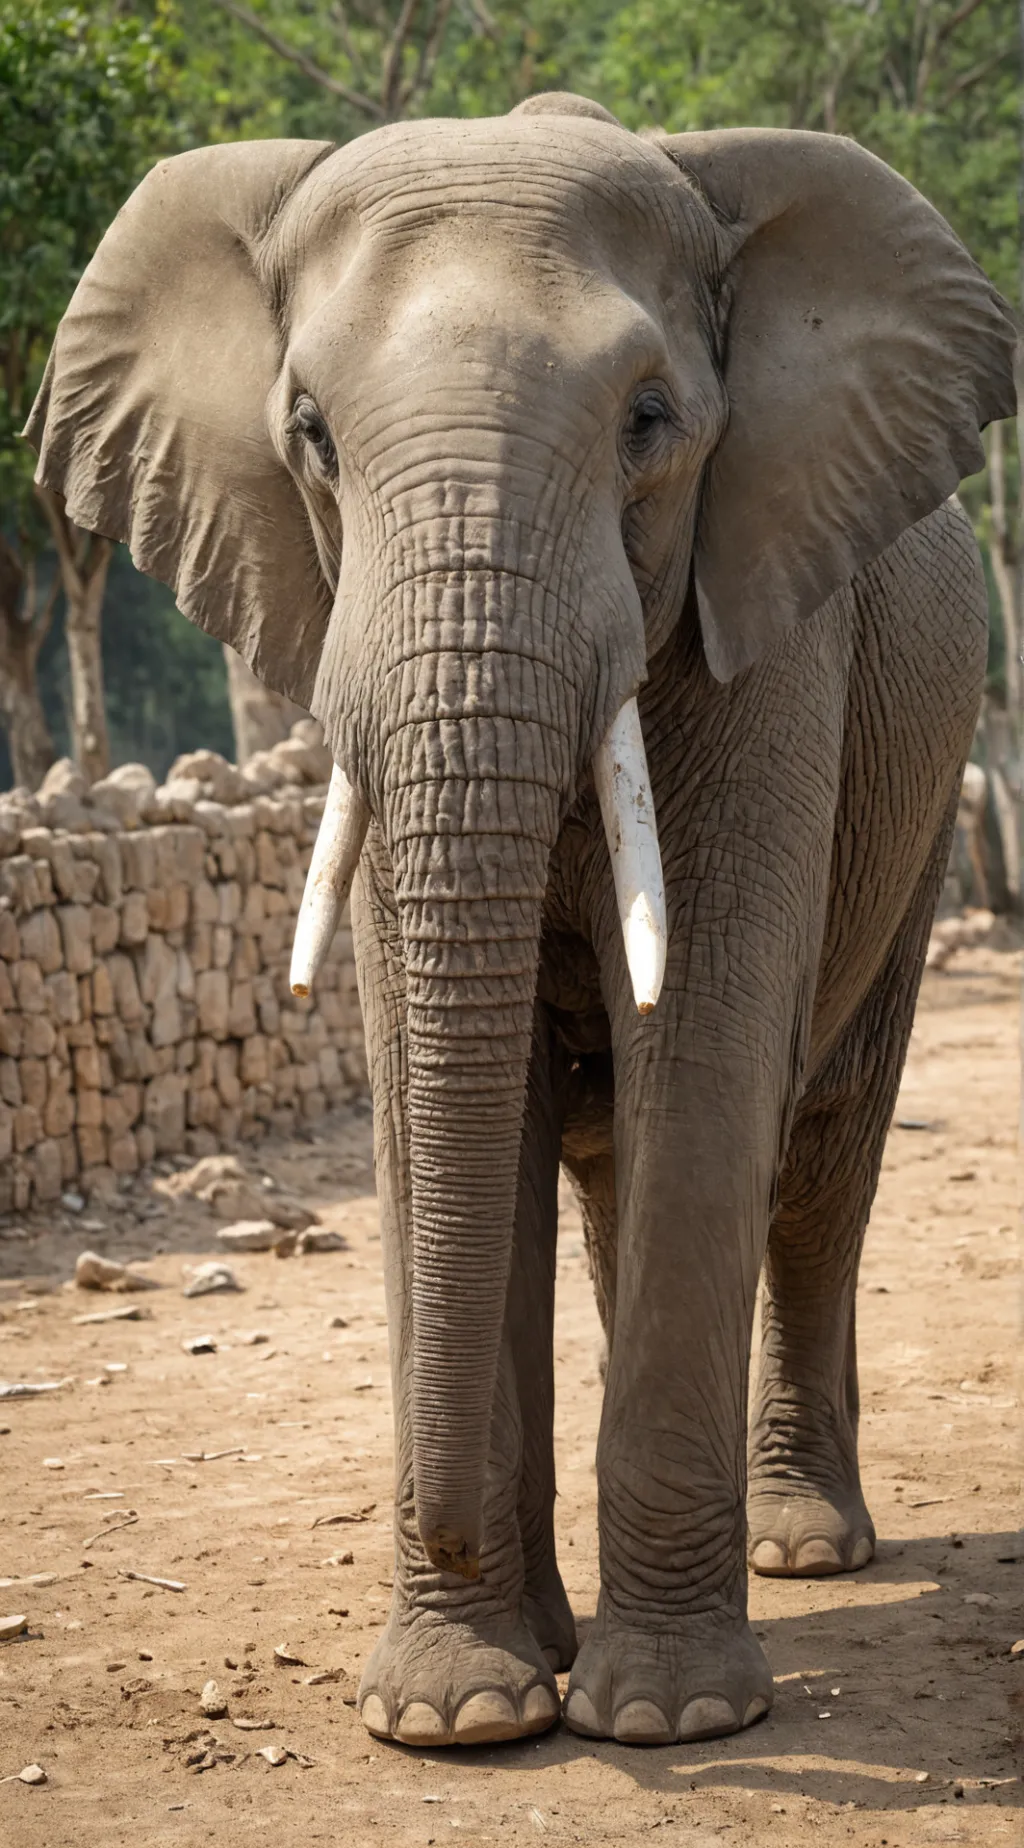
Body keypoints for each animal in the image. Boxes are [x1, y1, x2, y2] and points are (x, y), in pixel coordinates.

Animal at [26, 91, 1015, 1750]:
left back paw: (801, 1548)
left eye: (651, 422)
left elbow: (705, 1057)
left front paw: (666, 1721)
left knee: (817, 1157)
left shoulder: (766, 630)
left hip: (932, 790)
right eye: (310, 434)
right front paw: (466, 1716)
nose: (437, 1533)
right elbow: (439, 1111)